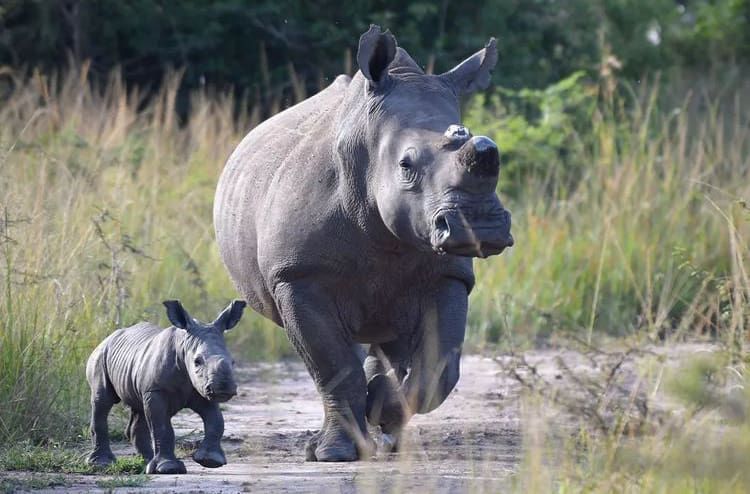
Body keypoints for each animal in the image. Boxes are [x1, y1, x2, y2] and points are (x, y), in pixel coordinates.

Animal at [85, 299, 246, 474]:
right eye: (197, 361)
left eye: (233, 362)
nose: (224, 387)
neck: (184, 346)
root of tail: (108, 338)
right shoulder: (156, 390)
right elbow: (162, 427)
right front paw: (169, 468)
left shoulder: (201, 390)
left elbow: (216, 421)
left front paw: (211, 460)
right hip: (100, 356)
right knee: (103, 400)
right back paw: (102, 464)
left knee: (139, 409)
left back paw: (147, 464)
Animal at [214, 25, 512, 462]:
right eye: (406, 165)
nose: (481, 228)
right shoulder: (297, 276)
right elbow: (334, 369)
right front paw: (333, 454)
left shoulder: (449, 274)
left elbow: (439, 367)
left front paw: (382, 409)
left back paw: (391, 437)